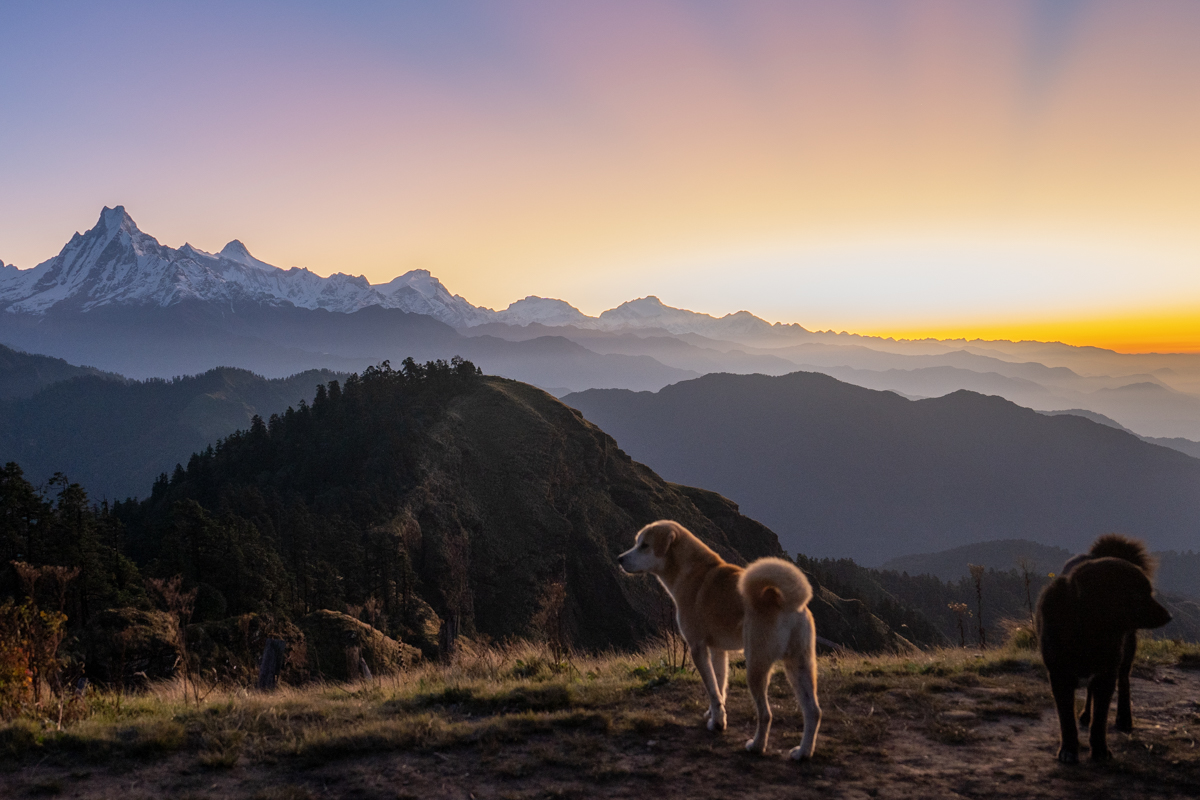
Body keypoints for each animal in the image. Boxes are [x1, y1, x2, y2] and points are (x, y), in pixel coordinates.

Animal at [1036, 554, 1166, 762]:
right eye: (1138, 594)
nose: (1169, 616)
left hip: (1125, 654)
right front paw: (1069, 749)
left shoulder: (1106, 676)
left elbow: (1100, 718)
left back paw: (1124, 719)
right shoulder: (1059, 676)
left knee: (1124, 682)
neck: (1088, 628)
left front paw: (1100, 750)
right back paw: (1085, 716)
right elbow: (1066, 718)